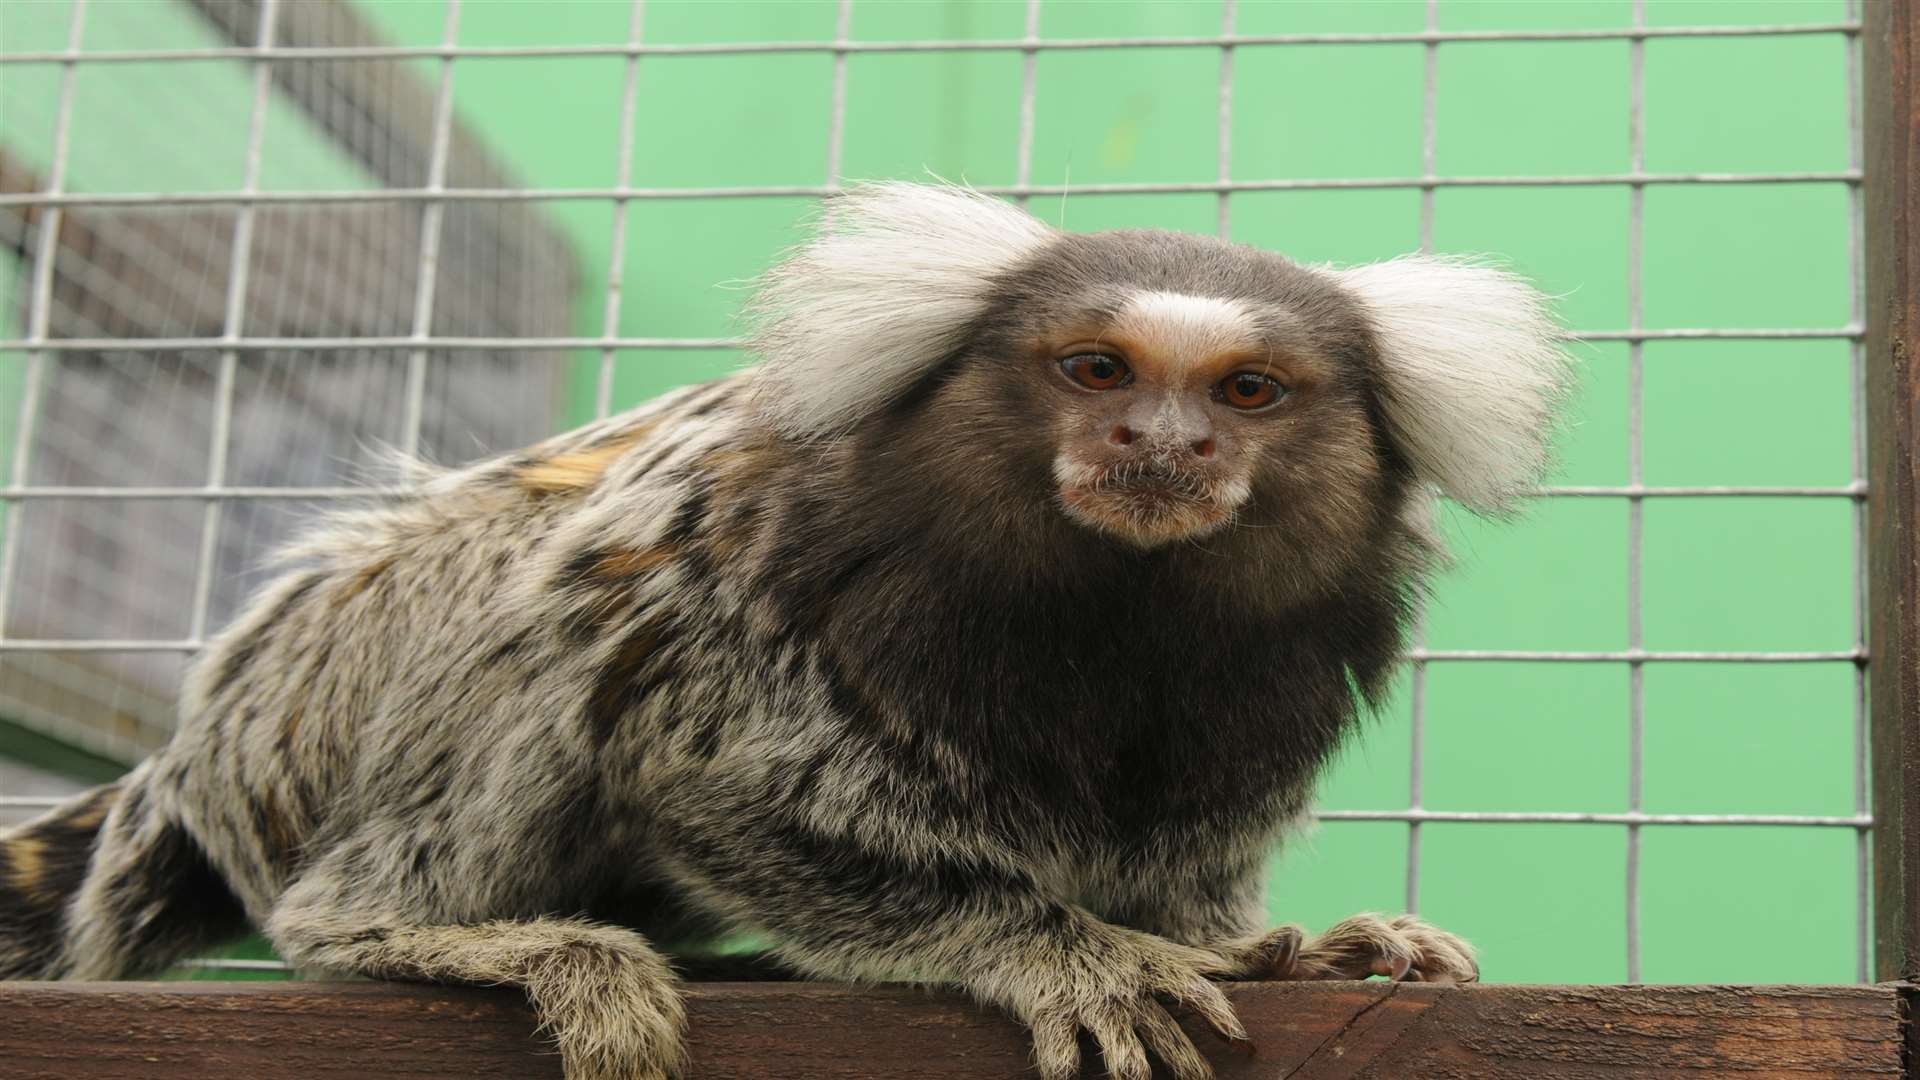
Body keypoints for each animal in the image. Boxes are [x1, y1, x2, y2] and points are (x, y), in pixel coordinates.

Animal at [0, 184, 1574, 1076]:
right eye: (1096, 370)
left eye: (1247, 391)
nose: (1160, 444)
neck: (1113, 606)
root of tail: (205, 747)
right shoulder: (743, 604)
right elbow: (708, 785)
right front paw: (1056, 946)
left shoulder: (1260, 690)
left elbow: (1185, 871)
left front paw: (1280, 950)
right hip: (339, 679)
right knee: (543, 606)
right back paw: (441, 935)